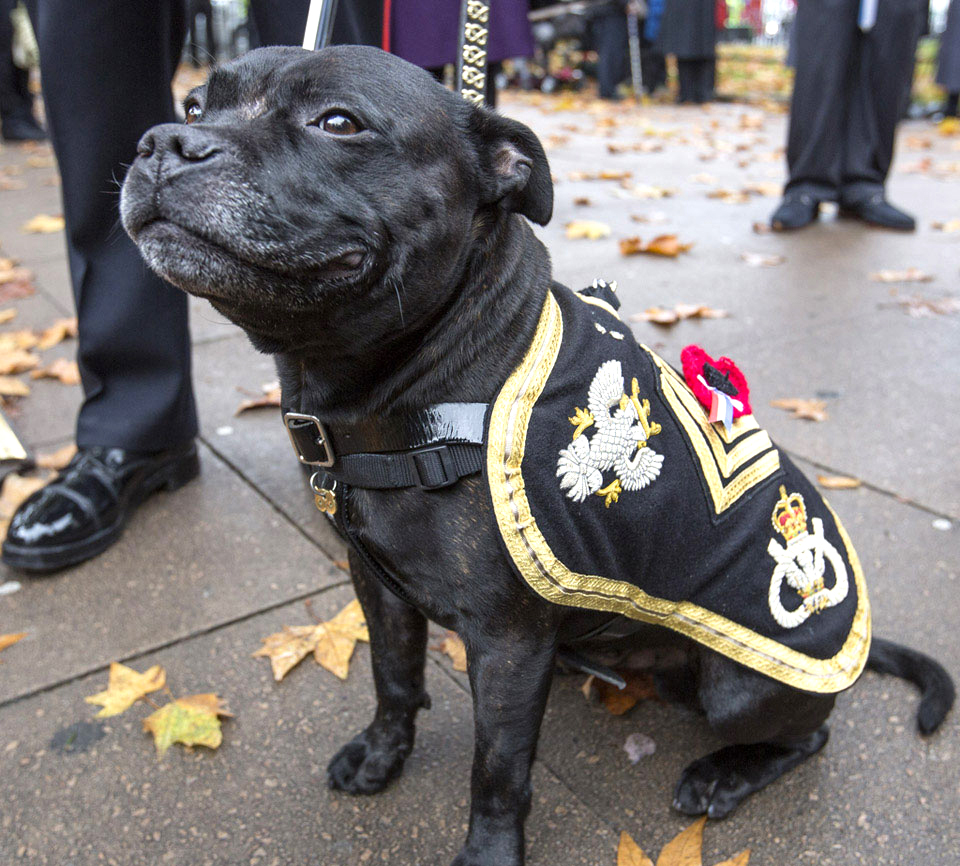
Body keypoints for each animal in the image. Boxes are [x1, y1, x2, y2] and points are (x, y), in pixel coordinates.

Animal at [120, 49, 952, 864]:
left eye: (339, 122)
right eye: (194, 104)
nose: (163, 141)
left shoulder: (508, 646)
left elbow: (496, 770)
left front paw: (488, 855)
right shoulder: (378, 588)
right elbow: (394, 678)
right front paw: (382, 756)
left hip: (742, 689)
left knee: (809, 735)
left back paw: (725, 774)